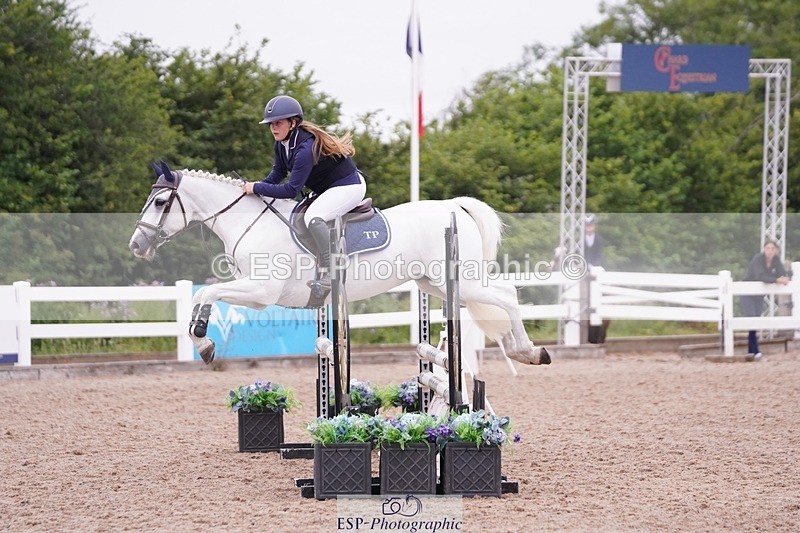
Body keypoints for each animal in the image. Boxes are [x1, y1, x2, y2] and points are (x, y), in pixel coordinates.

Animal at [129, 162, 550, 366]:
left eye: (161, 202)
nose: (136, 245)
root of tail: (454, 206)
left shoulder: (262, 292)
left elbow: (209, 292)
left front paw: (203, 342)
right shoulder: (256, 292)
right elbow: (204, 295)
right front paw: (202, 343)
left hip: (461, 278)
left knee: (508, 295)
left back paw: (529, 350)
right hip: (436, 284)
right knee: (494, 299)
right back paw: (515, 347)